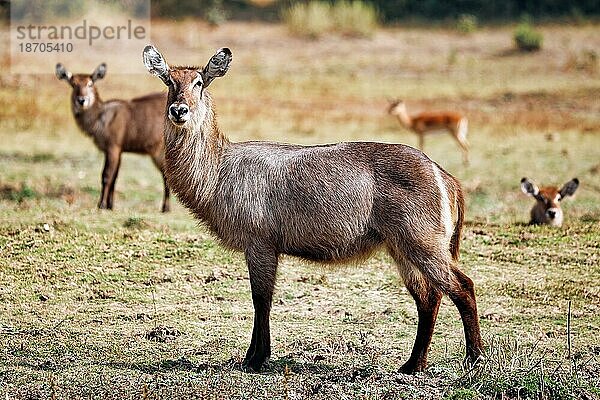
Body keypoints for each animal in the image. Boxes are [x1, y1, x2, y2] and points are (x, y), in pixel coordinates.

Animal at [56, 62, 170, 211]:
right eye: (73, 84)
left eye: (90, 83)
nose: (82, 100)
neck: (100, 117)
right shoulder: (117, 150)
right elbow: (115, 177)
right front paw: (110, 205)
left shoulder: (113, 147)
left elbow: (106, 176)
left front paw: (102, 205)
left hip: (159, 152)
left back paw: (166, 208)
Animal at [144, 45, 482, 374]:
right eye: (169, 81)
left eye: (199, 82)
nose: (179, 110)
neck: (219, 169)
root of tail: (445, 176)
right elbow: (262, 299)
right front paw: (252, 356)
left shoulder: (260, 243)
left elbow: (261, 299)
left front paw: (256, 358)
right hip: (401, 247)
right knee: (428, 298)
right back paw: (412, 365)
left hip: (422, 242)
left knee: (462, 287)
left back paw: (474, 360)